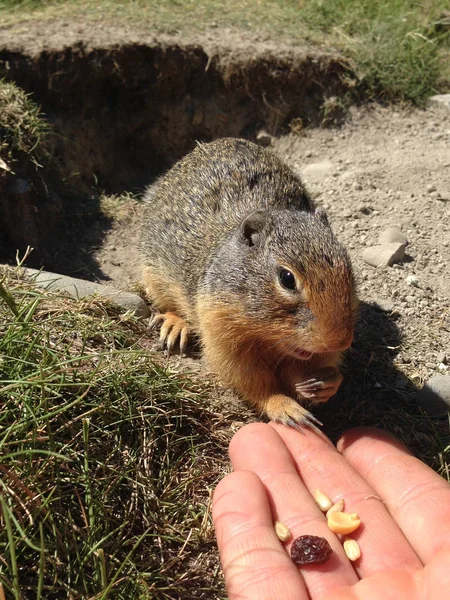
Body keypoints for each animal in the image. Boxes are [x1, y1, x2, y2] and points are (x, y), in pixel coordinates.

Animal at [141, 139, 358, 432]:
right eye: (287, 278)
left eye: (348, 267)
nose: (341, 340)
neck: (268, 336)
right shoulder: (223, 337)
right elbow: (255, 385)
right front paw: (286, 408)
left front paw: (327, 382)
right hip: (153, 274)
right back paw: (175, 325)